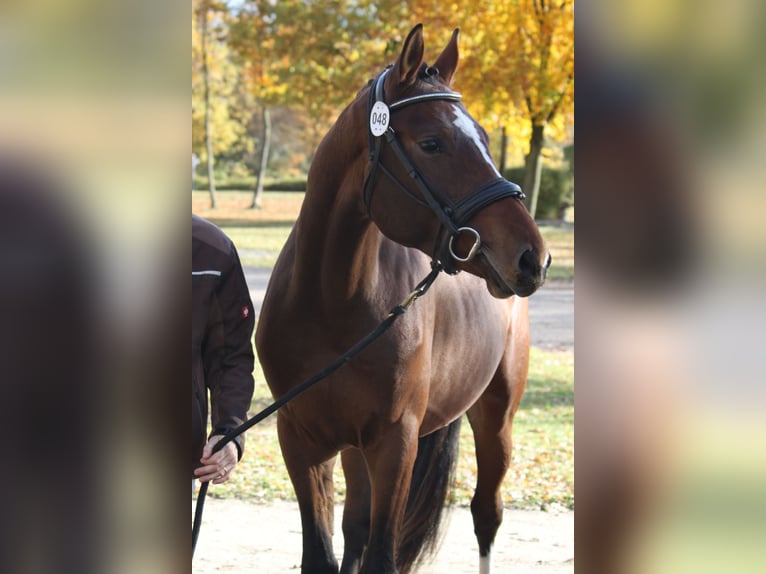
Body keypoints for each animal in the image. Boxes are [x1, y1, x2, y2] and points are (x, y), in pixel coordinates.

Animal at [255, 24, 550, 574]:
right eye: (432, 143)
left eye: (484, 138)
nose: (533, 258)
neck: (333, 304)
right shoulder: (301, 441)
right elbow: (325, 552)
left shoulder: (396, 445)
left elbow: (380, 555)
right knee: (356, 526)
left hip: (496, 417)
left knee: (486, 514)